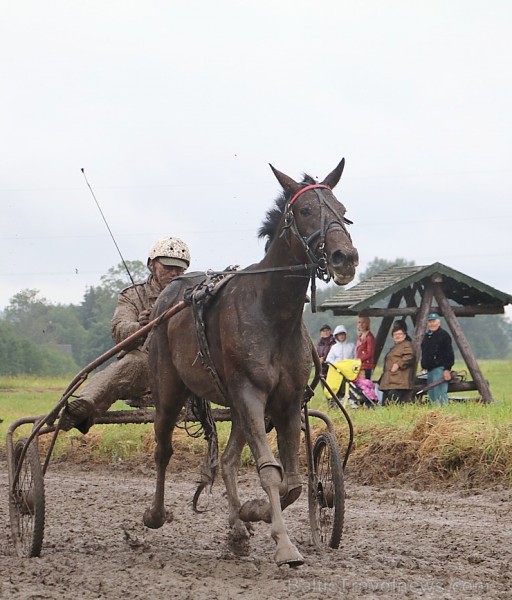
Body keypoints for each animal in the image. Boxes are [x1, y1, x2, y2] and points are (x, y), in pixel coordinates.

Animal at [144, 159, 358, 568]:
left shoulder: (287, 401)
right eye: (305, 210)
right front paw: (285, 545)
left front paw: (252, 511)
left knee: (227, 461)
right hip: (170, 389)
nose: (346, 258)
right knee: (163, 449)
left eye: (343, 210)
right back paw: (155, 514)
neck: (272, 311)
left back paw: (237, 529)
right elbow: (270, 472)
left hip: (234, 404)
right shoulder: (249, 393)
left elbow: (292, 482)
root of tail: (170, 294)